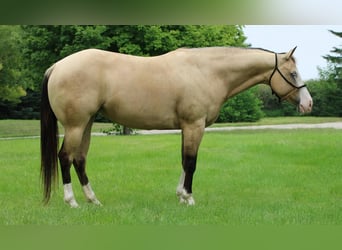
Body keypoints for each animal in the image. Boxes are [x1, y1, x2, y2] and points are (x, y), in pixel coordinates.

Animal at [40, 46, 312, 207]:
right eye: (293, 74)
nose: (308, 104)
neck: (207, 71)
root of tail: (57, 66)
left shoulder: (187, 127)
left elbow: (184, 160)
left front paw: (180, 195)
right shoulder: (194, 125)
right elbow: (191, 162)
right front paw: (189, 198)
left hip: (86, 123)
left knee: (80, 159)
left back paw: (93, 199)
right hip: (75, 125)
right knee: (65, 157)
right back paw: (72, 201)